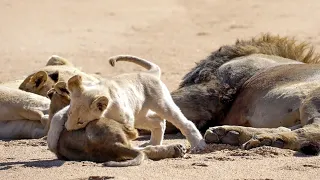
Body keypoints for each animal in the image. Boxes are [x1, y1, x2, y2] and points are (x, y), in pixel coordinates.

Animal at [168, 33, 320, 155]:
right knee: (287, 128)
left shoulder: (207, 95)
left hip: (312, 98)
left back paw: (272, 140)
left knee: (313, 130)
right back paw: (230, 134)